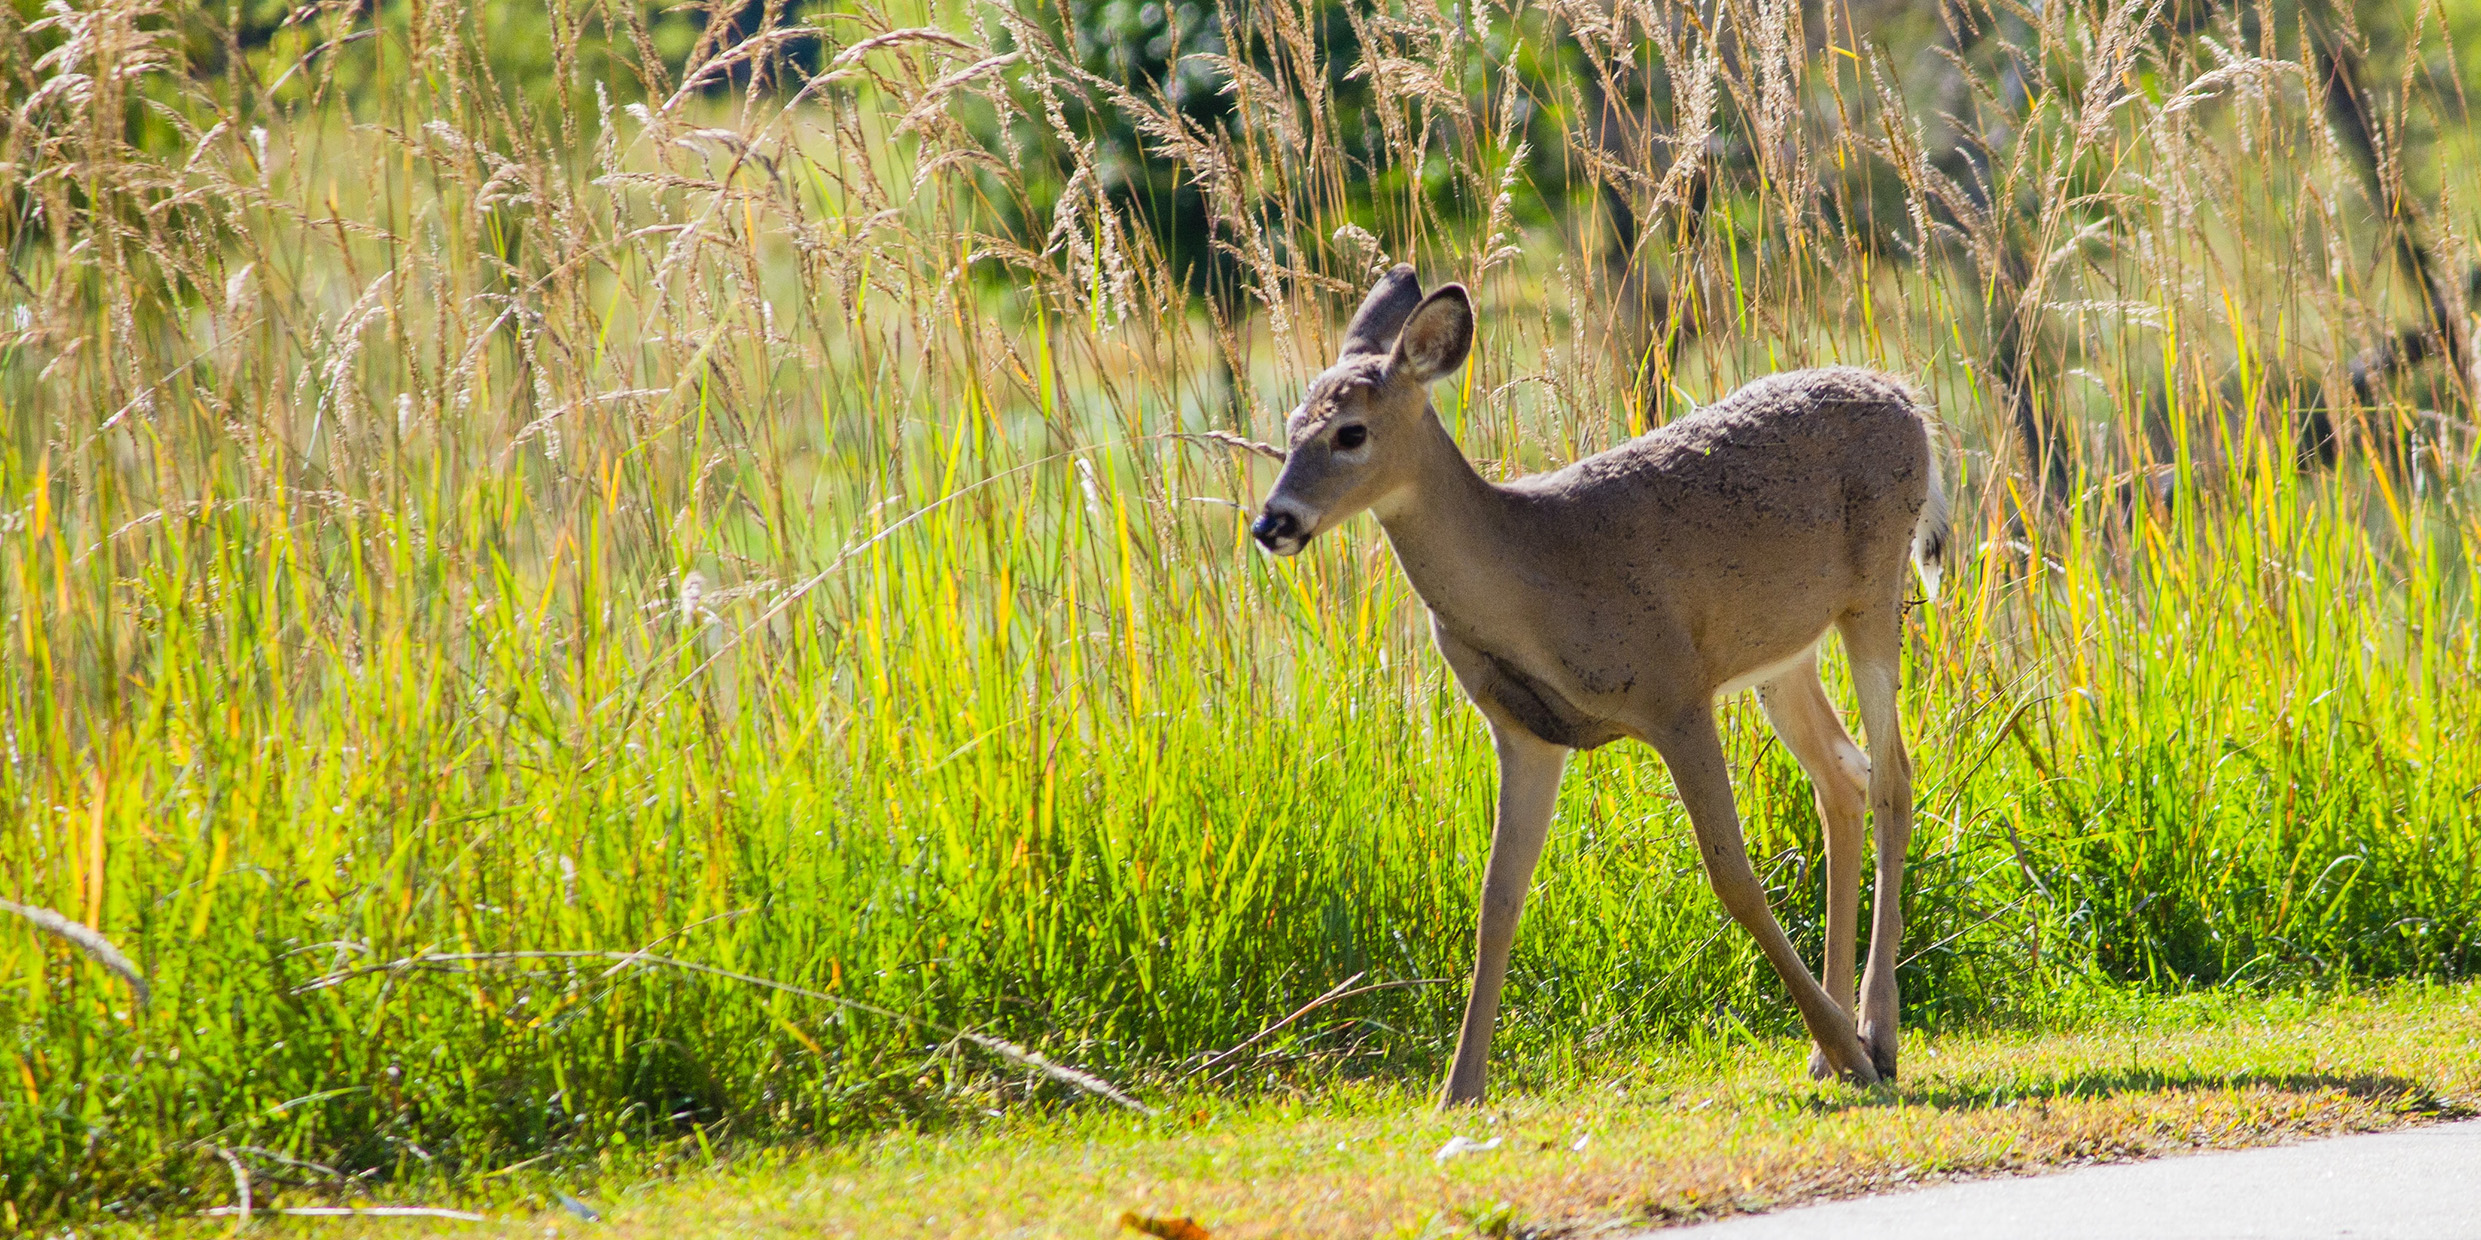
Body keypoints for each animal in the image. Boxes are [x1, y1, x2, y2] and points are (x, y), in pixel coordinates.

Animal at [1250, 266, 1945, 1101]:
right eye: (1290, 426)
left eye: (1349, 431)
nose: (1272, 523)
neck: (1532, 569)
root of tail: (1906, 398)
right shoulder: (1523, 731)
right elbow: (1497, 900)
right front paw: (1458, 1089)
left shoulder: (1673, 690)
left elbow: (1732, 876)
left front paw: (1853, 1051)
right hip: (1781, 658)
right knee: (1842, 778)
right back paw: (1832, 1048)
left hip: (1872, 590)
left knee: (1893, 777)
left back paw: (1874, 1038)